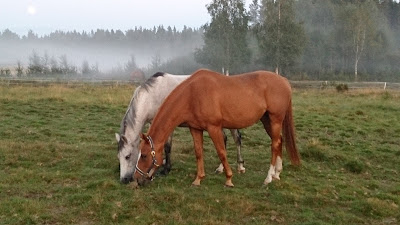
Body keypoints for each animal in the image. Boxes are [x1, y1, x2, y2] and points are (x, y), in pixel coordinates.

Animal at [114, 73, 242, 184]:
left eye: (127, 156)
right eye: (119, 156)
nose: (124, 180)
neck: (152, 96)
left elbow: (167, 147)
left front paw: (166, 169)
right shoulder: (152, 123)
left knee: (236, 138)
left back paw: (238, 166)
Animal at [135, 68, 300, 186]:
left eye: (144, 155)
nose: (136, 179)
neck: (192, 94)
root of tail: (283, 80)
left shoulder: (213, 127)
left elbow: (221, 152)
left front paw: (229, 179)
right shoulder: (195, 129)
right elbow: (198, 152)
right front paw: (198, 179)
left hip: (275, 119)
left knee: (275, 144)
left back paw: (268, 178)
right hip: (267, 120)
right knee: (279, 141)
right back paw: (277, 174)